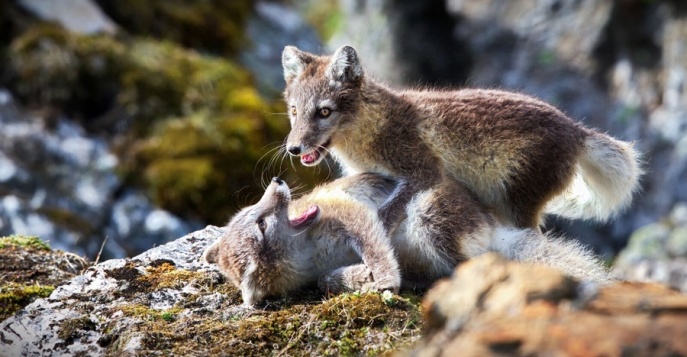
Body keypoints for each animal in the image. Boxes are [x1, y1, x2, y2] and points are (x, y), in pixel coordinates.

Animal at [203, 172, 608, 304]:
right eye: (259, 223)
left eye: (253, 212)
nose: (277, 180)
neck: (309, 253)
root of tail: (496, 224)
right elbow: (325, 281)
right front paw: (356, 277)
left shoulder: (350, 213)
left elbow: (373, 247)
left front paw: (380, 277)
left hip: (427, 218)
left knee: (468, 265)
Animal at [280, 44, 644, 228]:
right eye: (295, 111)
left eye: (324, 112)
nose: (293, 149)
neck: (373, 129)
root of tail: (576, 130)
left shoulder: (424, 172)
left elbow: (384, 215)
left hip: (518, 203)